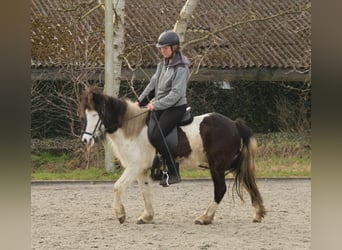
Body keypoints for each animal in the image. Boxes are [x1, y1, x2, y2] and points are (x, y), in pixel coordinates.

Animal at [81, 89, 268, 226]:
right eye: (86, 114)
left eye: (96, 114)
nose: (85, 140)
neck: (133, 129)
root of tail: (234, 124)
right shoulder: (142, 170)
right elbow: (145, 192)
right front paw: (147, 216)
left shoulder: (135, 166)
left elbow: (117, 187)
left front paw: (120, 214)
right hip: (231, 165)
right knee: (248, 182)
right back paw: (258, 213)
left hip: (217, 166)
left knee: (220, 189)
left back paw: (205, 218)